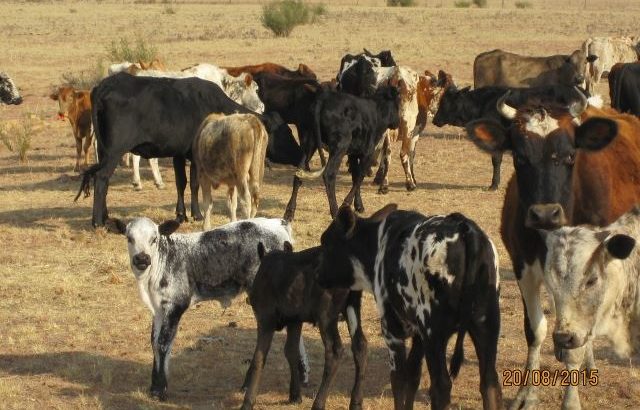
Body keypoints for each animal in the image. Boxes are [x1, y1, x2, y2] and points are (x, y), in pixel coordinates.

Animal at [75, 73, 303, 227]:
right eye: (285, 133)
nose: (301, 155)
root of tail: (105, 85)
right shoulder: (194, 157)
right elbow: (193, 184)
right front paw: (196, 214)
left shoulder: (178, 154)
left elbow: (181, 183)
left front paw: (181, 214)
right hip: (114, 152)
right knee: (102, 178)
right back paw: (98, 221)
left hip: (104, 151)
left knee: (101, 179)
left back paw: (105, 216)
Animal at [112, 215, 296, 401]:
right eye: (129, 238)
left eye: (154, 239)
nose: (142, 259)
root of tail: (279, 222)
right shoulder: (158, 310)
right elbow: (154, 342)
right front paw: (154, 386)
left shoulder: (175, 305)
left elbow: (164, 343)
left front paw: (159, 390)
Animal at [241, 243, 366, 410]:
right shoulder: (295, 320)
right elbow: (291, 351)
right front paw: (295, 395)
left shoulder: (265, 317)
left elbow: (259, 357)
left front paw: (248, 401)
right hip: (352, 306)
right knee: (360, 345)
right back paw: (356, 402)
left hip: (326, 314)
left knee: (334, 351)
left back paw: (318, 403)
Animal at [292, 85, 401, 218]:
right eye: (398, 104)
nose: (398, 122)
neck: (377, 111)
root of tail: (323, 99)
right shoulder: (368, 153)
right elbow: (360, 176)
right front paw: (347, 203)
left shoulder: (353, 154)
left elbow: (355, 176)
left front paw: (359, 206)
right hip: (339, 147)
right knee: (329, 174)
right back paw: (335, 212)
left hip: (309, 144)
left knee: (298, 173)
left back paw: (289, 212)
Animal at [315, 204, 502, 410]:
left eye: (326, 243)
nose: (316, 274)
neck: (377, 244)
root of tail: (464, 228)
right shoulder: (418, 336)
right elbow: (413, 376)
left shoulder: (392, 331)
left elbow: (399, 380)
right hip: (485, 327)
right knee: (490, 383)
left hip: (434, 335)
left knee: (441, 386)